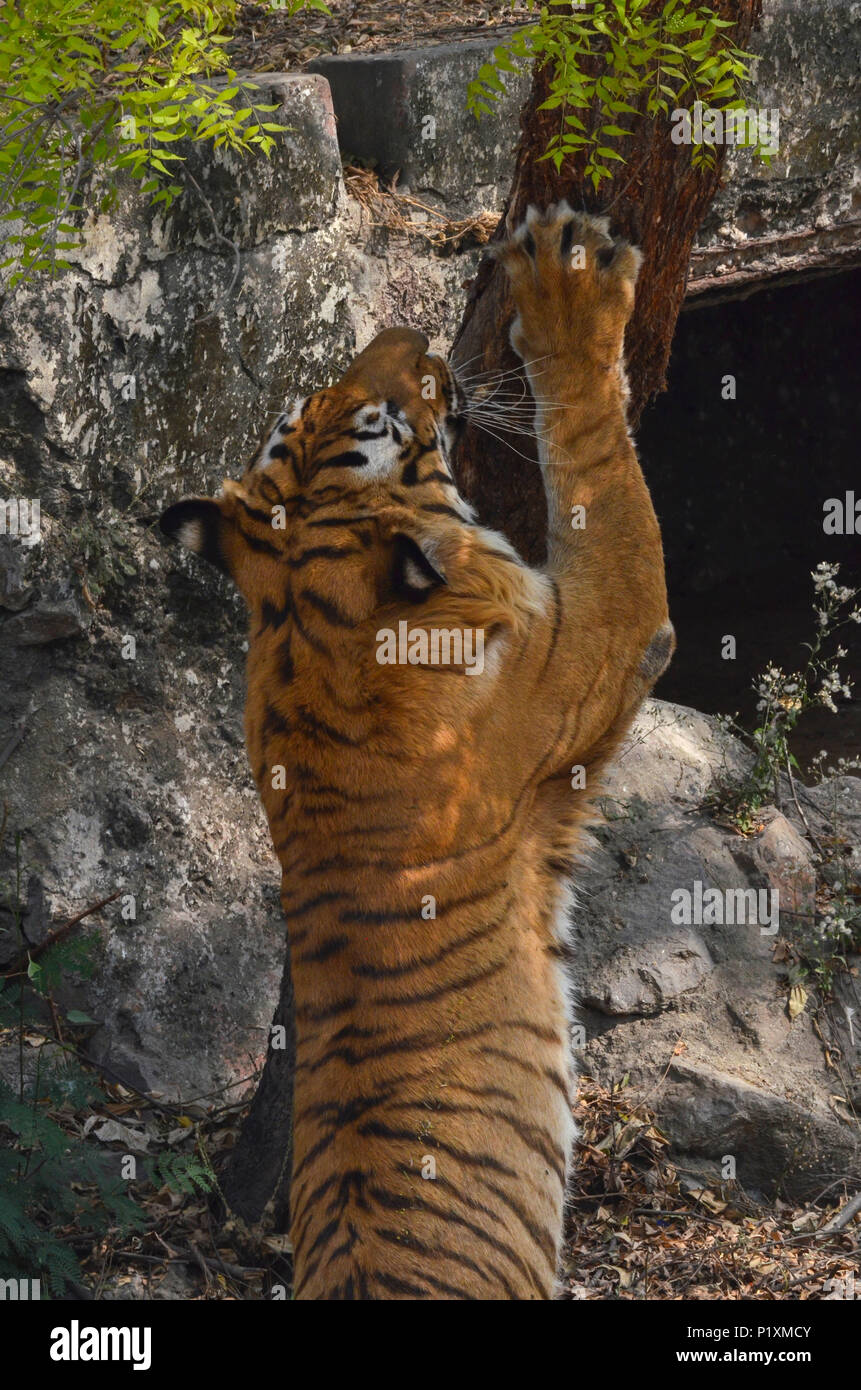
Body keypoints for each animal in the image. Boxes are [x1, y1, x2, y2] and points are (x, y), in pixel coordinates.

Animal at [160, 203, 674, 1300]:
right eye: (389, 425)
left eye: (318, 400)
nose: (413, 334)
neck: (307, 638)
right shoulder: (604, 636)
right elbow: (596, 461)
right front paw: (567, 280)